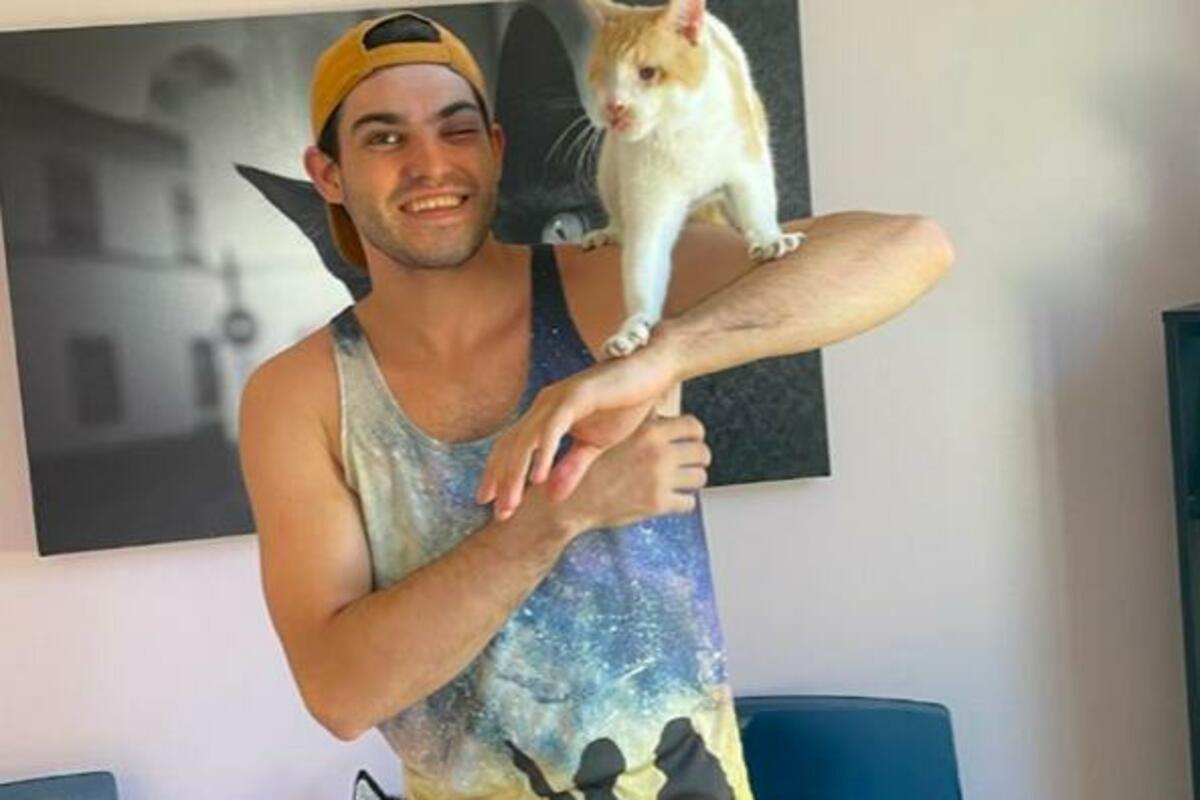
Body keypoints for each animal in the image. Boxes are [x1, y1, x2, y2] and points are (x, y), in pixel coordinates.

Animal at [580, 0, 805, 358]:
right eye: (602, 74)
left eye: (647, 72)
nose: (614, 107)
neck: (678, 132)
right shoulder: (649, 204)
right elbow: (644, 262)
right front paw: (634, 326)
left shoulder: (747, 163)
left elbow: (758, 205)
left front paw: (769, 239)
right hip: (609, 168)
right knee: (618, 216)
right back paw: (609, 232)